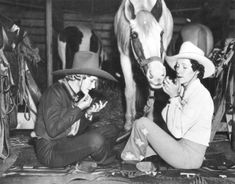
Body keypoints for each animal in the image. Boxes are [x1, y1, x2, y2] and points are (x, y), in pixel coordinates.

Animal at [114, 0, 173, 131]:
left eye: (161, 34)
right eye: (134, 35)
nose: (157, 76)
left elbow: (151, 93)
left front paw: (149, 118)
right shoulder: (124, 57)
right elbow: (129, 90)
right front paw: (128, 122)